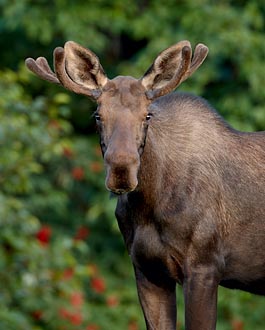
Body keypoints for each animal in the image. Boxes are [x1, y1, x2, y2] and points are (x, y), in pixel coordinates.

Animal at [26, 42, 264, 330]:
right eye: (97, 115)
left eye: (147, 115)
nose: (121, 171)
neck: (150, 205)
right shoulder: (147, 271)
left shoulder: (204, 267)